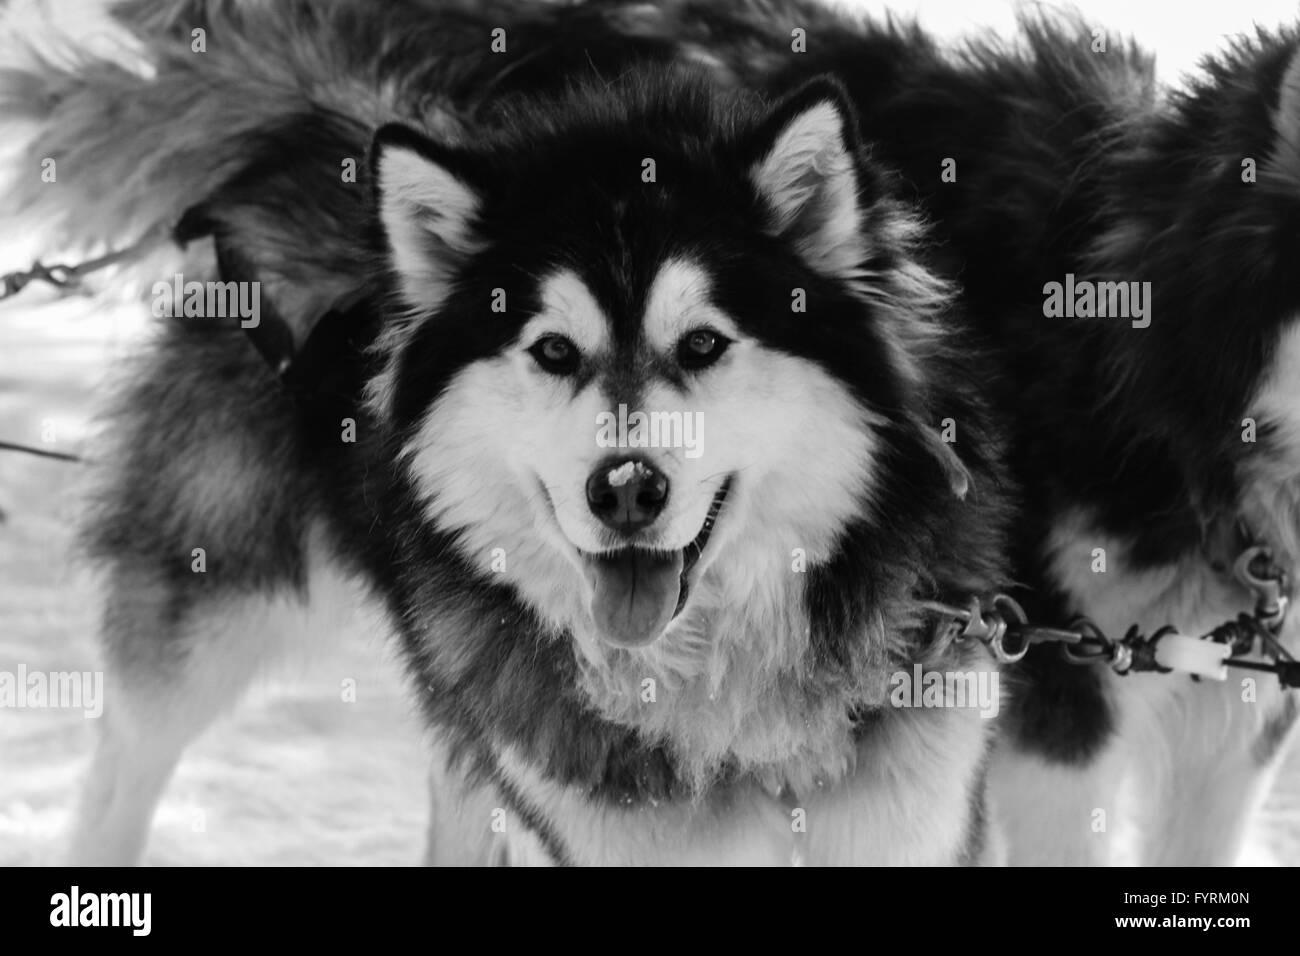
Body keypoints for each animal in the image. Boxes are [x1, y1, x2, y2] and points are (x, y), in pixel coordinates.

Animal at [2, 0, 1013, 868]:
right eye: (554, 349)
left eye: (703, 343)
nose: (626, 490)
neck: (729, 709)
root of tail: (307, 125)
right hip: (225, 586)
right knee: (128, 757)